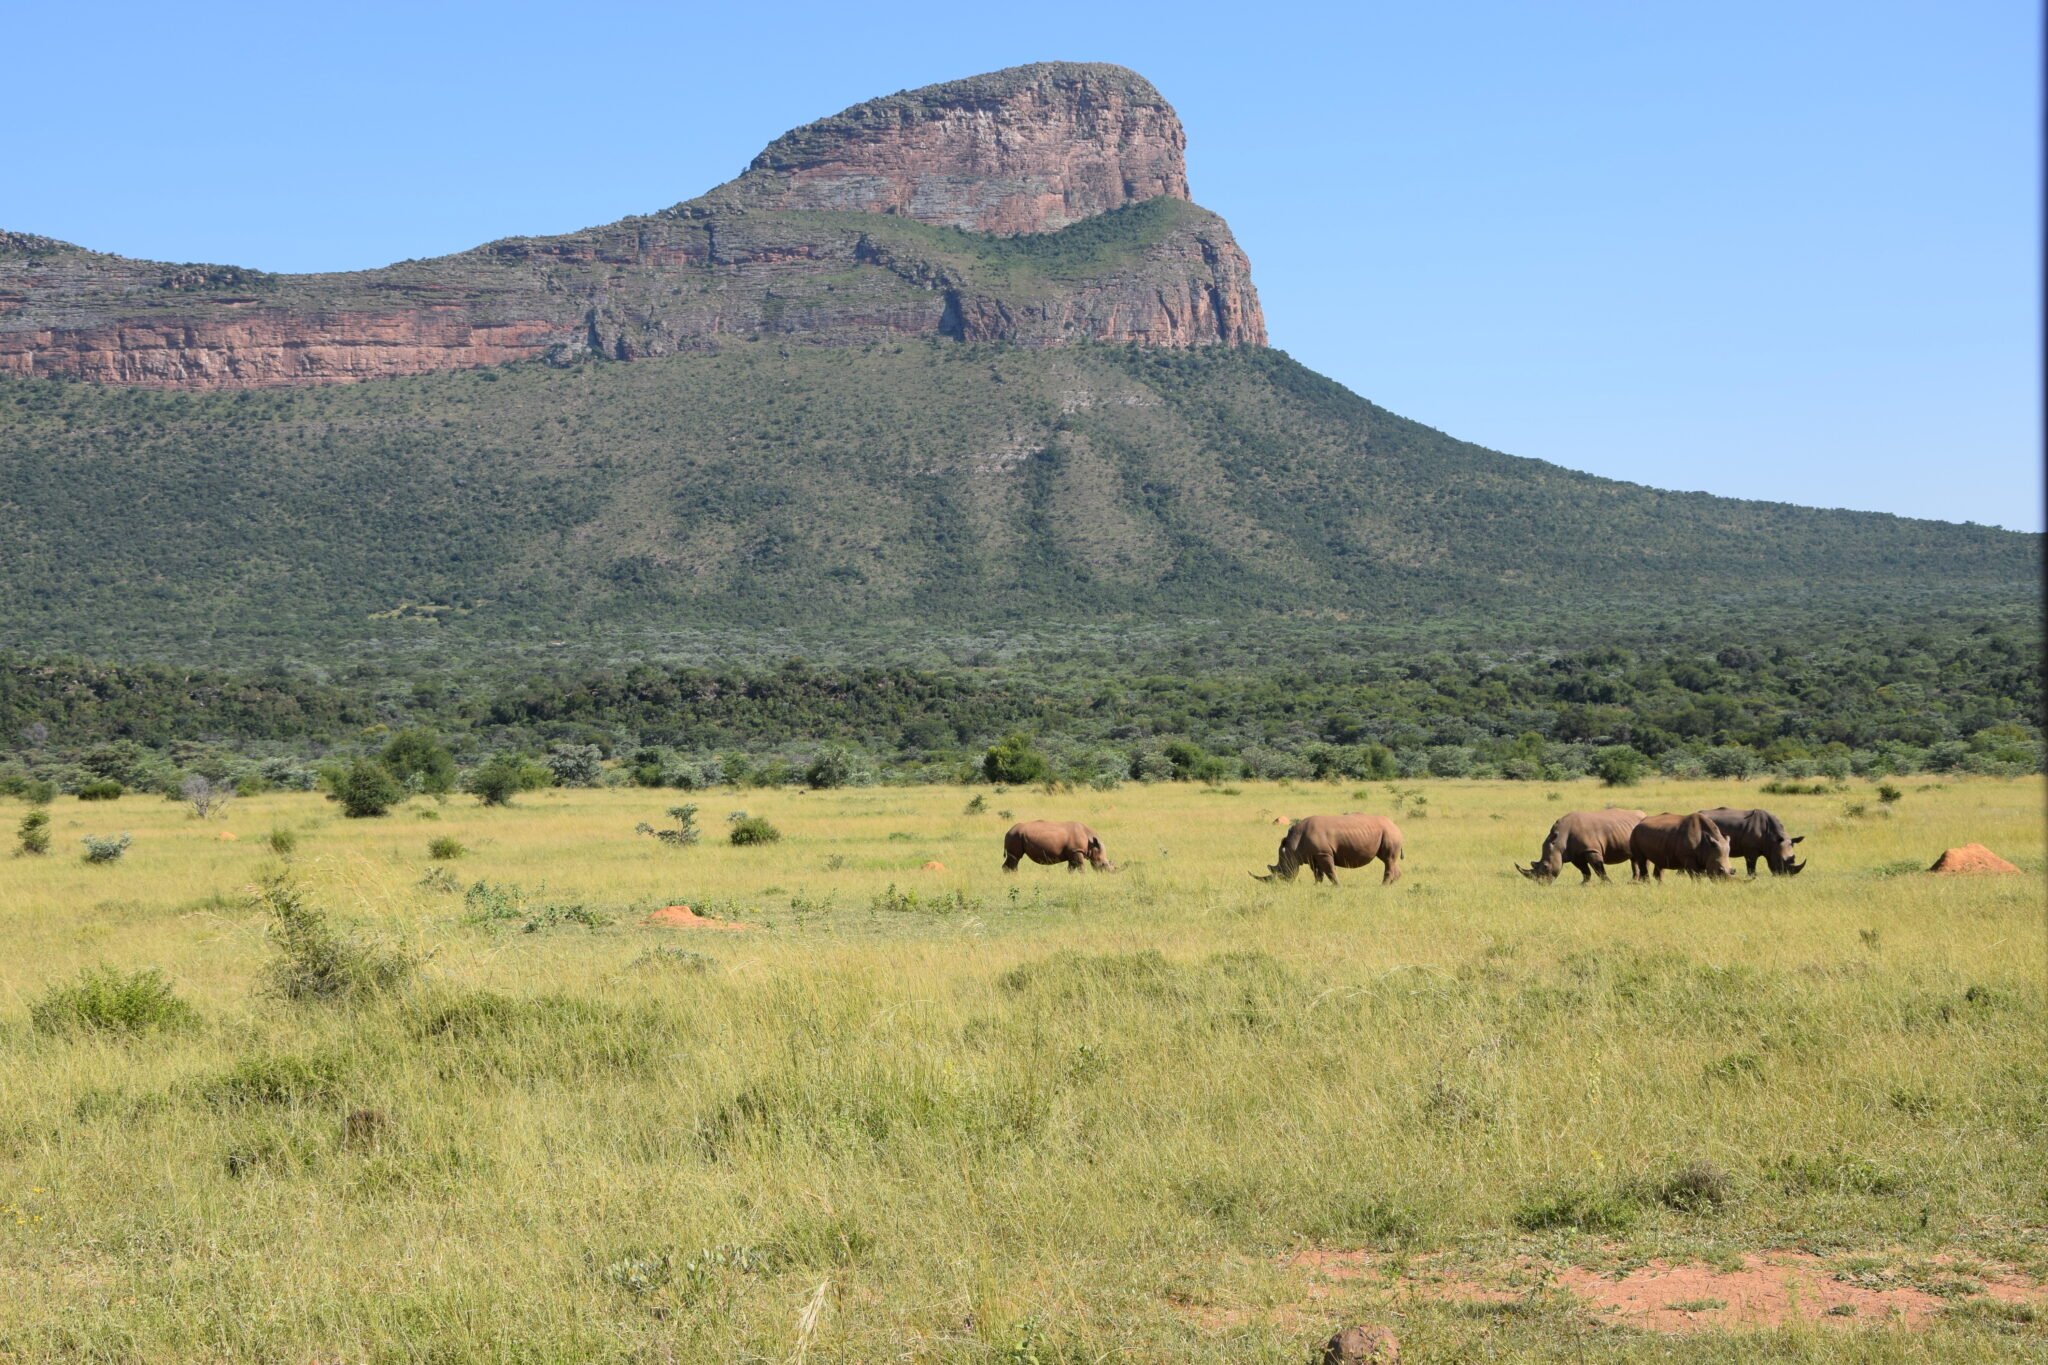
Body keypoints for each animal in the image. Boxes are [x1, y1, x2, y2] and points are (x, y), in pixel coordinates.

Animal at [1252, 813, 1403, 886]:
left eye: (1282, 871)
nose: (1281, 884)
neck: (1293, 846)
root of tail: (1396, 826)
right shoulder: (1313, 856)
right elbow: (1318, 874)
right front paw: (1316, 886)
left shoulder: (1323, 853)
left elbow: (1330, 871)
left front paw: (1338, 886)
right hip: (1388, 833)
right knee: (1390, 860)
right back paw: (1393, 884)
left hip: (1389, 833)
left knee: (1388, 860)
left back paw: (1383, 886)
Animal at [1518, 808, 1646, 884]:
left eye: (1545, 866)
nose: (1541, 883)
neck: (1558, 841)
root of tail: (1644, 814)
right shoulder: (1575, 855)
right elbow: (1585, 871)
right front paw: (1583, 884)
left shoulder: (1591, 850)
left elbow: (1598, 869)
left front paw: (1608, 884)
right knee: (1634, 858)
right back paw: (1633, 882)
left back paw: (1637, 882)